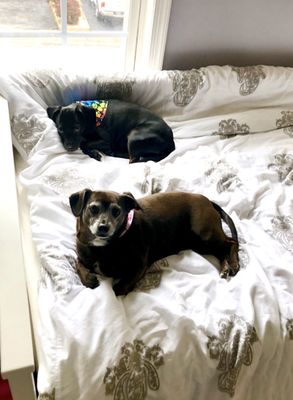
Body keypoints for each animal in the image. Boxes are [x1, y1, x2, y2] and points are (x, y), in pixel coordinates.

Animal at [47, 99, 175, 162]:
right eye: (60, 129)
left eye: (77, 128)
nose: (69, 147)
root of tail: (172, 143)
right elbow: (84, 143)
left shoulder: (106, 140)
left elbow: (84, 144)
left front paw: (94, 153)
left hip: (134, 135)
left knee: (133, 159)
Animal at [69, 189, 238, 296]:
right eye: (93, 208)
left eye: (116, 211)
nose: (103, 227)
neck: (103, 247)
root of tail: (207, 200)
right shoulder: (81, 256)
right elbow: (77, 263)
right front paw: (88, 278)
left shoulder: (139, 266)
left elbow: (119, 288)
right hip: (199, 244)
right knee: (221, 250)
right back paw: (225, 268)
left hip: (204, 235)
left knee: (230, 243)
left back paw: (233, 264)